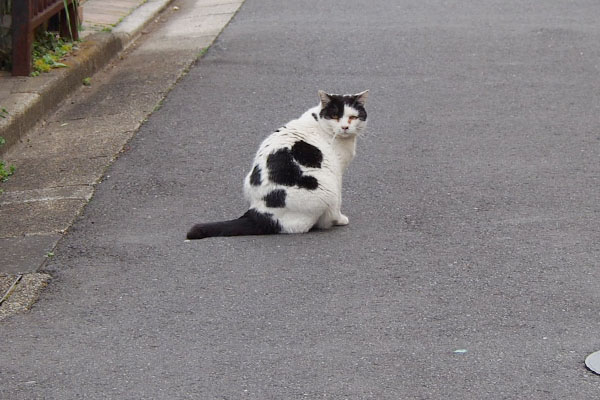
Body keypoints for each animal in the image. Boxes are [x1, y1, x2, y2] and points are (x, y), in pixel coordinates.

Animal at [186, 90, 370, 241]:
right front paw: (341, 218)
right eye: (335, 116)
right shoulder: (337, 171)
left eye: (353, 117)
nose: (345, 127)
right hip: (327, 188)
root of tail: (259, 213)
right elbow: (338, 202)